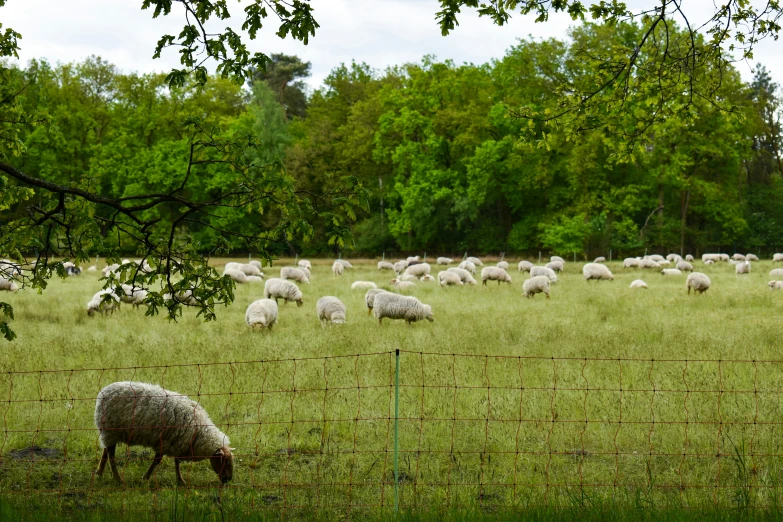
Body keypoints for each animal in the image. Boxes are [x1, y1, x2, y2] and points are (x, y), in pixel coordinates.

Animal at [93, 378, 231, 484]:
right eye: (224, 461)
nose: (228, 480)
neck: (199, 432)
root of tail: (103, 392)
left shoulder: (177, 443)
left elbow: (176, 461)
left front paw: (180, 480)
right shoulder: (165, 442)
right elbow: (158, 461)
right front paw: (146, 477)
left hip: (109, 433)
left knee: (106, 451)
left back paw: (99, 473)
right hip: (111, 431)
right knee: (111, 456)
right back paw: (118, 479)